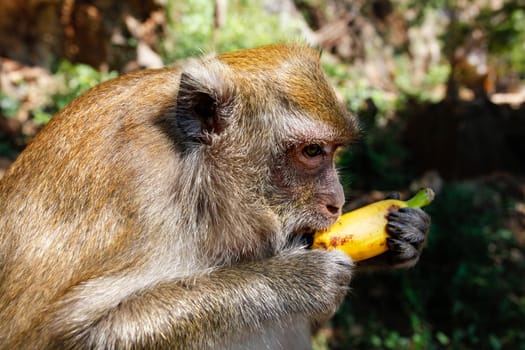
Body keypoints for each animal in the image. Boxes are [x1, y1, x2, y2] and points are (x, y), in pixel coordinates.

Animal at [0, 44, 428, 350]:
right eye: (312, 152)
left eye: (333, 152)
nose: (337, 202)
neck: (195, 177)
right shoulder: (142, 193)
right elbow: (78, 333)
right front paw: (298, 279)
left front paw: (407, 233)